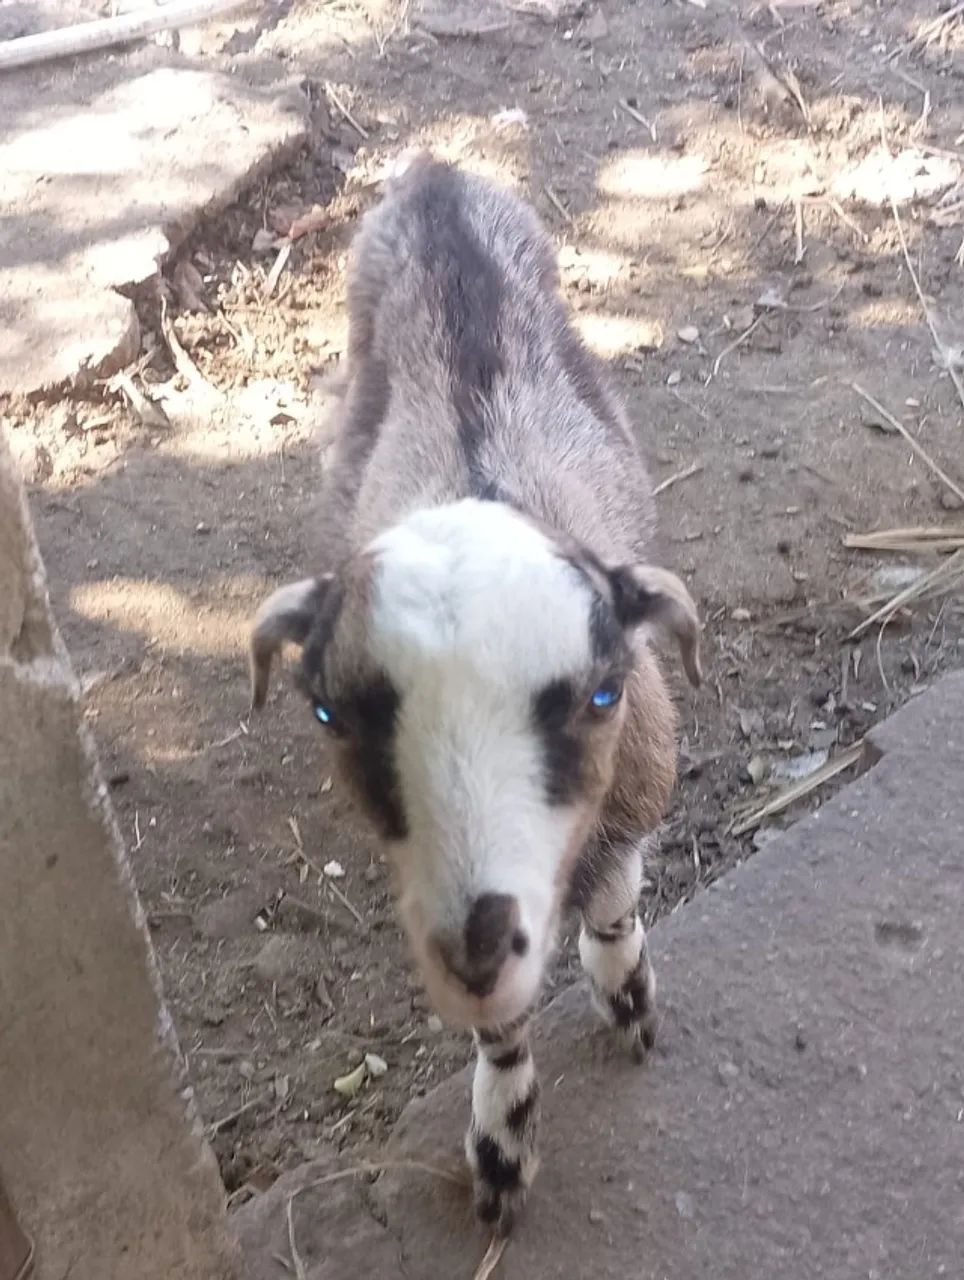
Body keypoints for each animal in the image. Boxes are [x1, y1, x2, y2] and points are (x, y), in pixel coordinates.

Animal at [249, 153, 701, 1235]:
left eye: (600, 694)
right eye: (328, 712)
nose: (475, 943)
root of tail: (434, 176)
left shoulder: (637, 788)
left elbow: (614, 897)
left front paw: (626, 993)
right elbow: (500, 1030)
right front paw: (501, 1141)